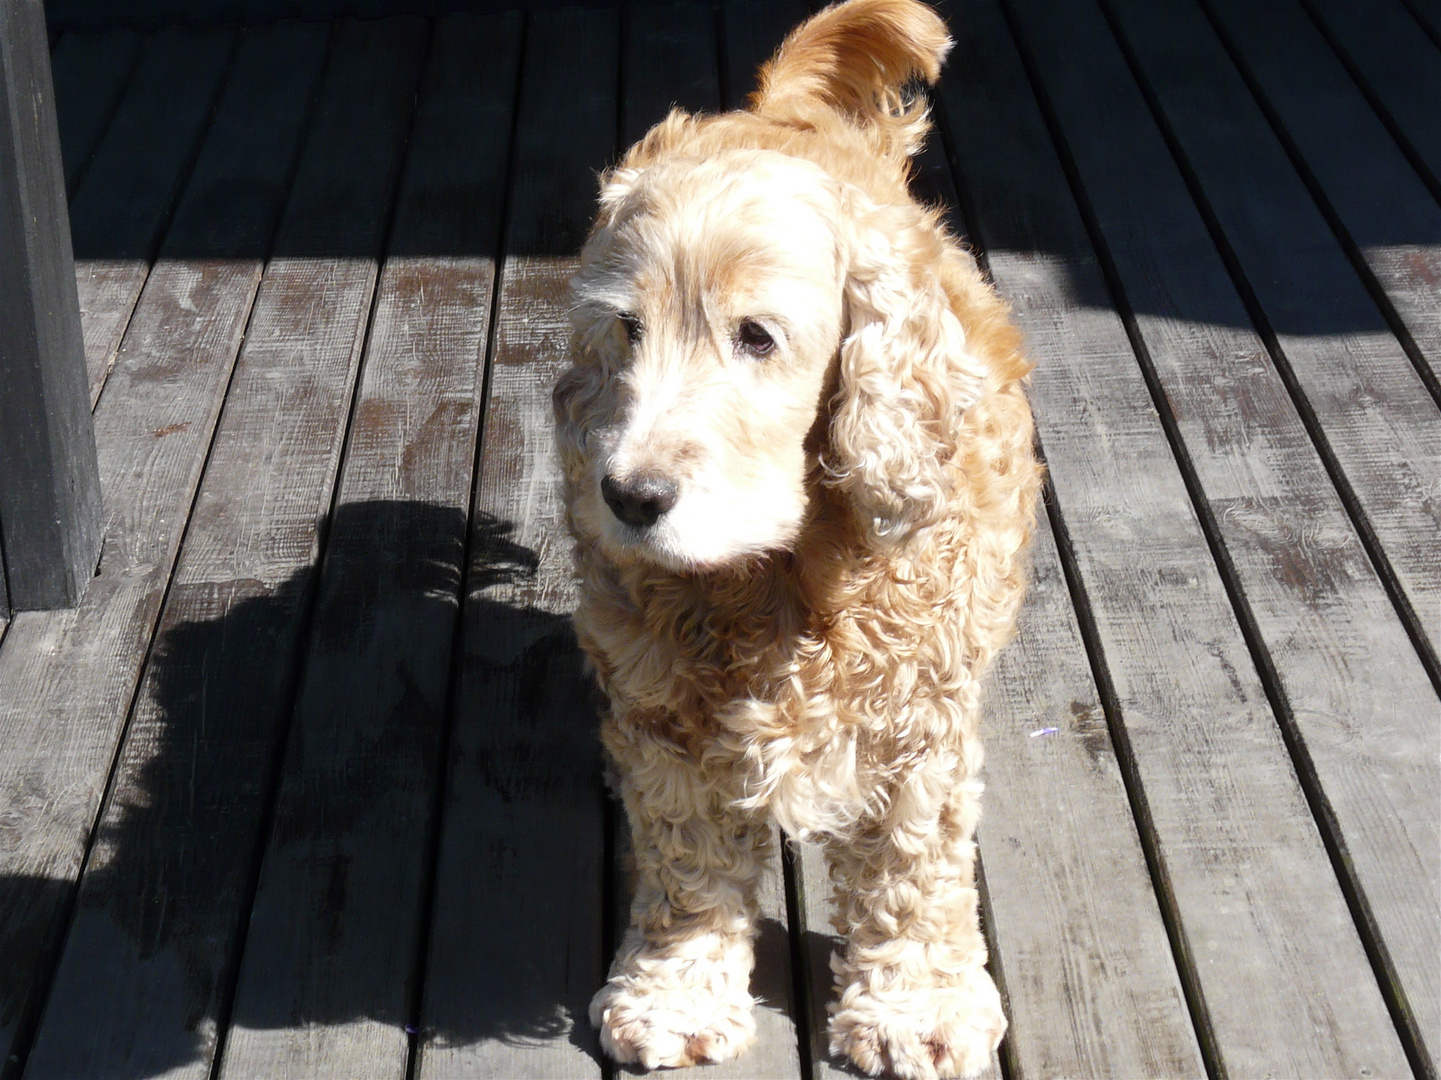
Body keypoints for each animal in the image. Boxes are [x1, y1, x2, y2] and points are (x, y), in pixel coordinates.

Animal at [550, 4, 1037, 1072]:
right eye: (625, 330)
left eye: (757, 338)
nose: (628, 496)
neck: (779, 577)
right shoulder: (667, 711)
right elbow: (687, 863)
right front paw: (675, 995)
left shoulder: (918, 721)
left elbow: (910, 874)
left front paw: (914, 1007)